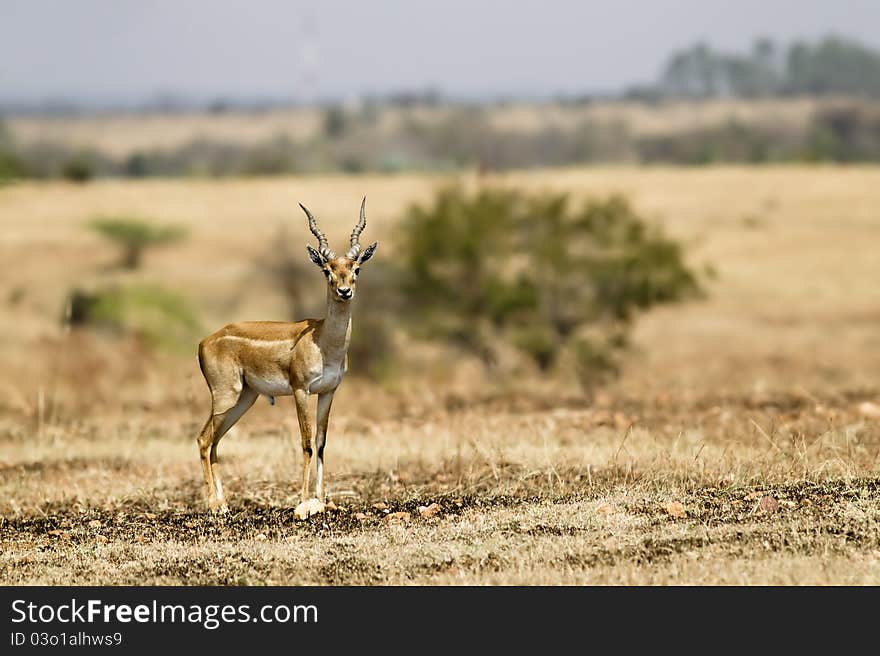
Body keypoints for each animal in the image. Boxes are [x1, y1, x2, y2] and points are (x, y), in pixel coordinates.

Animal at [196, 199, 378, 516]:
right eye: (327, 270)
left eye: (356, 268)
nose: (344, 291)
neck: (322, 340)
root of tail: (206, 341)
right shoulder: (300, 389)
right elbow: (305, 443)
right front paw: (302, 502)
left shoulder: (328, 391)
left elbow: (321, 442)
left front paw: (321, 499)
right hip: (225, 395)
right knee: (204, 439)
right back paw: (215, 506)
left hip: (244, 399)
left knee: (216, 441)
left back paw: (225, 504)